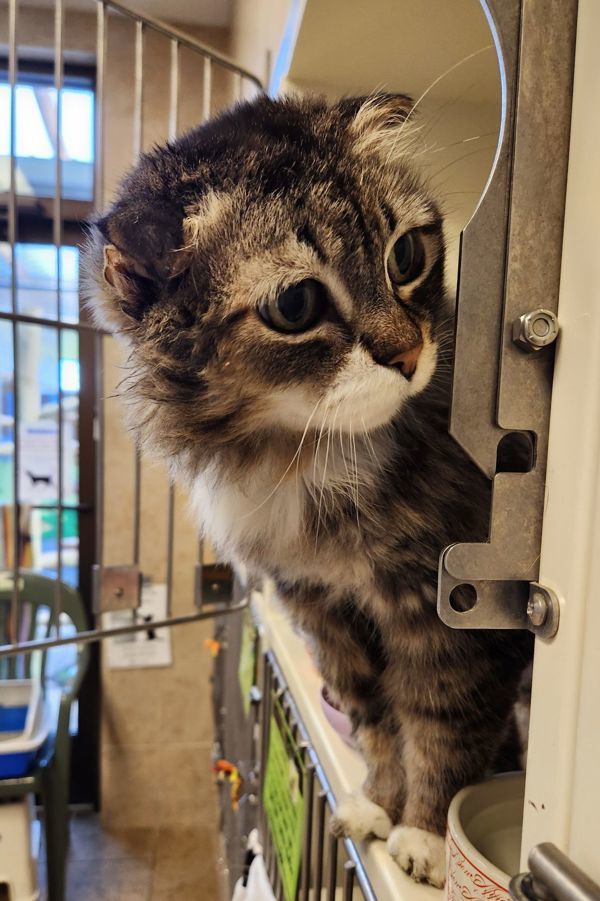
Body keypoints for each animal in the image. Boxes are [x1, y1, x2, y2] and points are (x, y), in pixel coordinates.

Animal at [86, 93, 532, 884]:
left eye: (406, 256)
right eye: (295, 304)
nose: (410, 354)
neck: (298, 458)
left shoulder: (448, 617)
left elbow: (441, 723)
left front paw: (424, 836)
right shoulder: (325, 610)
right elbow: (378, 723)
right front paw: (379, 806)